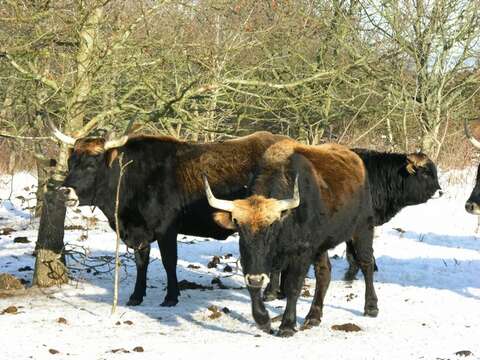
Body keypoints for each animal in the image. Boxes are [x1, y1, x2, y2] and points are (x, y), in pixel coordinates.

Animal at [48, 121, 286, 306]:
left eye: (91, 164)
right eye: (70, 162)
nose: (64, 191)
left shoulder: (166, 230)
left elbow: (169, 261)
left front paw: (171, 297)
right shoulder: (139, 231)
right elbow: (141, 262)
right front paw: (136, 296)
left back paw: (271, 292)